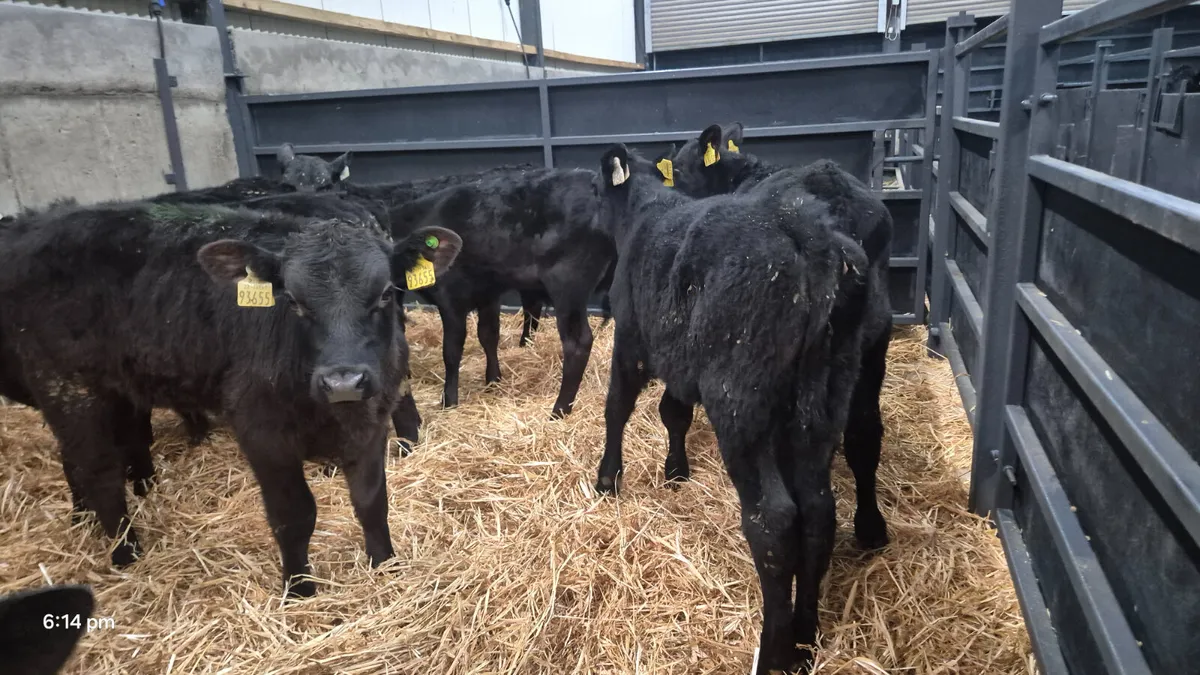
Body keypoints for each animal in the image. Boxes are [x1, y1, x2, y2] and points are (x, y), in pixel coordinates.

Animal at [0, 200, 461, 597]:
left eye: (385, 294)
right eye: (292, 301)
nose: (343, 381)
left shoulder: (371, 422)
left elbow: (371, 502)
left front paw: (385, 568)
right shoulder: (262, 432)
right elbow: (294, 515)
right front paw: (299, 591)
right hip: (68, 388)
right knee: (100, 474)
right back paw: (126, 555)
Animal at [384, 167, 615, 417]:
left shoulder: (450, 298)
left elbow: (452, 351)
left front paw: (449, 400)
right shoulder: (489, 293)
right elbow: (488, 335)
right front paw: (493, 380)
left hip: (567, 285)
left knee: (577, 343)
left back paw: (559, 410)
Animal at [592, 144, 872, 674]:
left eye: (595, 191)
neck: (644, 213)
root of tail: (808, 237)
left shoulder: (632, 340)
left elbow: (616, 406)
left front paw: (607, 478)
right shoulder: (681, 360)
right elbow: (673, 412)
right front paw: (675, 470)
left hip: (741, 401)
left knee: (774, 519)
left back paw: (774, 650)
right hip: (824, 402)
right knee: (818, 511)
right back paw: (805, 639)